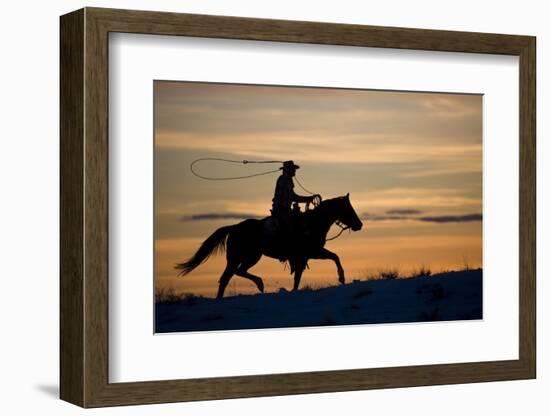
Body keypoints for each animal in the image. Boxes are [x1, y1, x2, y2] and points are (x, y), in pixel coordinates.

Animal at [177, 193, 364, 298]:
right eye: (349, 209)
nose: (359, 225)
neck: (313, 223)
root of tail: (235, 227)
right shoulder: (312, 253)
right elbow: (335, 257)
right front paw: (341, 278)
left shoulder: (306, 256)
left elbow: (299, 277)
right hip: (243, 257)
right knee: (228, 276)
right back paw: (258, 284)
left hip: (249, 257)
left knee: (234, 274)